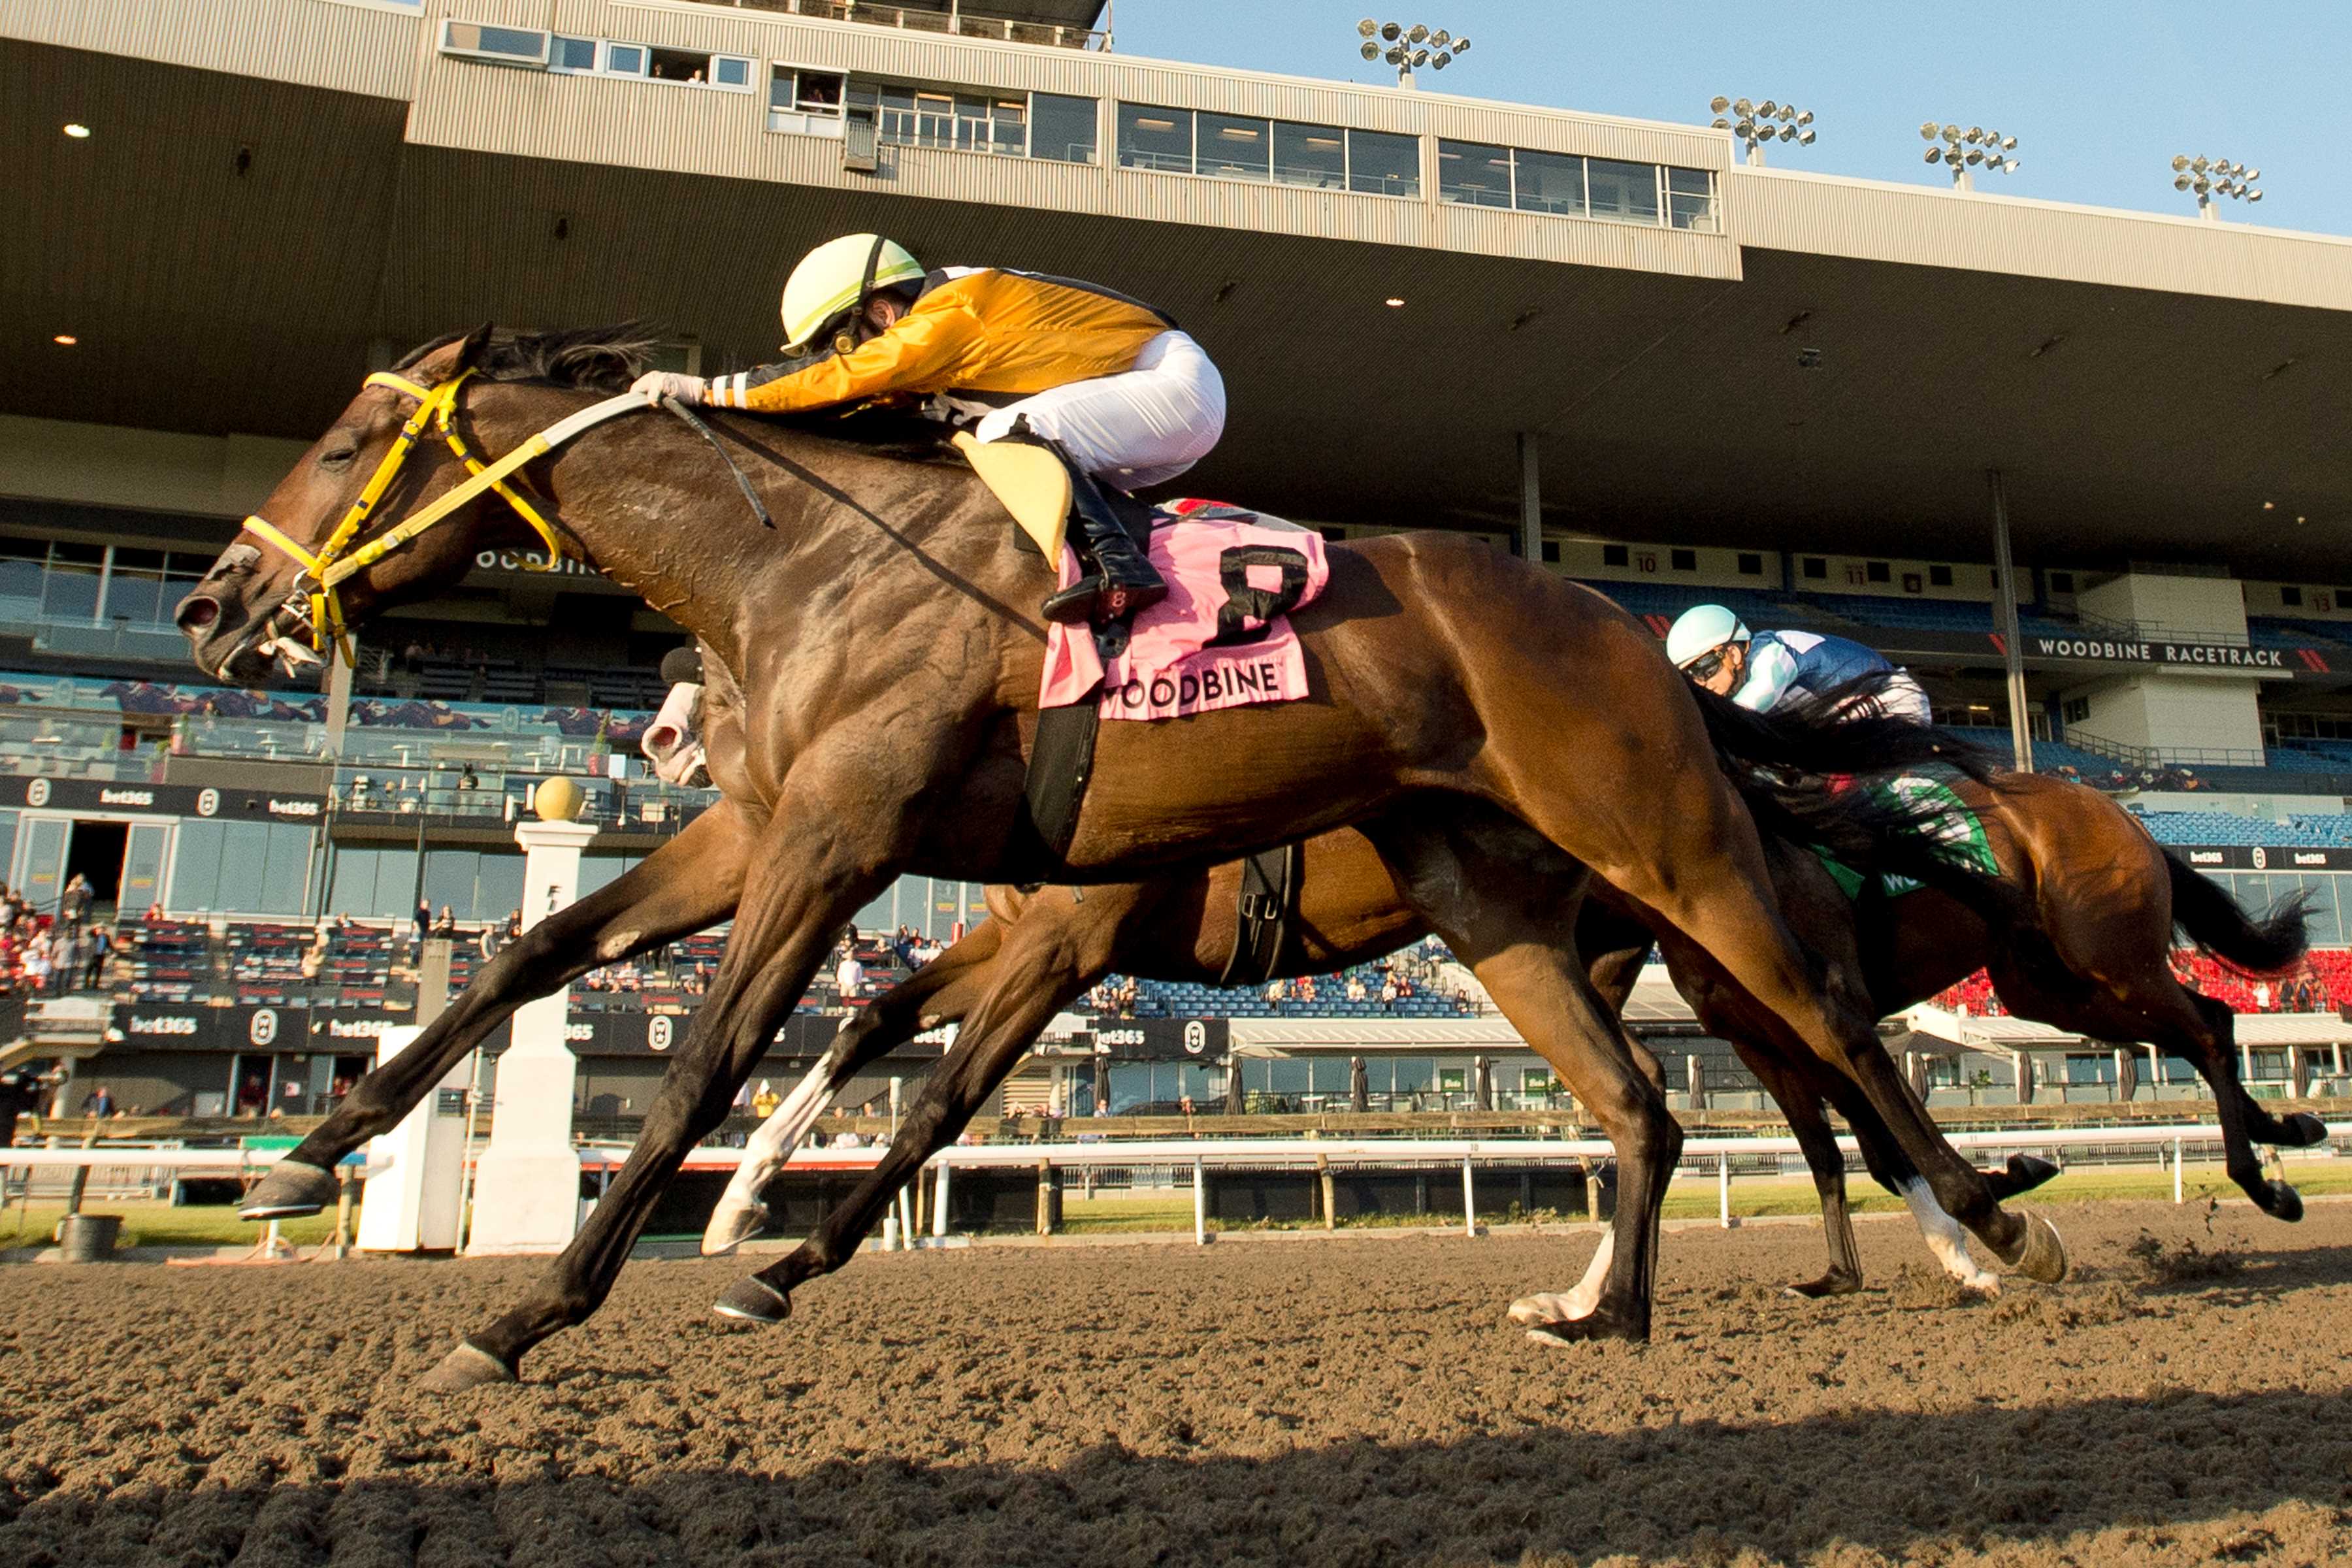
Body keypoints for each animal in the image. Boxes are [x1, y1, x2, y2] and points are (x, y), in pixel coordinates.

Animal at [188, 329, 2060, 1382]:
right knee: (1649, 1102)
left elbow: (743, 1057)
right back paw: (1610, 1312)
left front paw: (551, 1306)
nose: (213, 604)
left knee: (1827, 1033)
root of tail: (1630, 633)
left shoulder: (894, 858)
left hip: (1671, 861)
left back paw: (1990, 1224)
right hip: (1498, 904)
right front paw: (317, 1150)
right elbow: (551, 957)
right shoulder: (777, 829)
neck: (806, 561)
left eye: (347, 443)